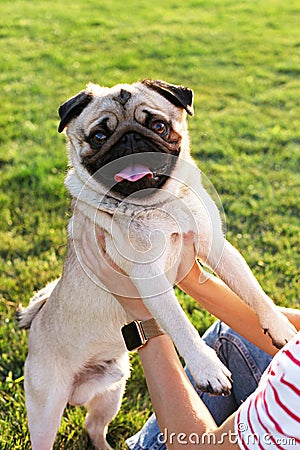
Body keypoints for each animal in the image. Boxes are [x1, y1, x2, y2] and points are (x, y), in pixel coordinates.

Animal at [17, 79, 296, 448]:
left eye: (159, 126)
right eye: (99, 136)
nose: (131, 139)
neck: (156, 205)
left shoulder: (217, 247)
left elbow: (253, 291)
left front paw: (280, 327)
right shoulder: (147, 277)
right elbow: (180, 325)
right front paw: (207, 368)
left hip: (112, 390)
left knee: (93, 426)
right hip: (46, 409)